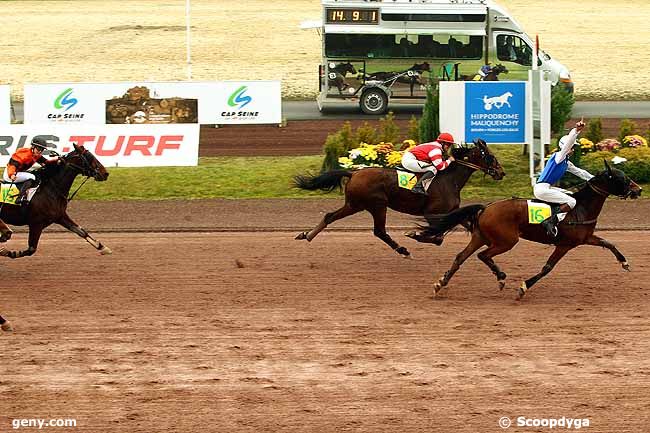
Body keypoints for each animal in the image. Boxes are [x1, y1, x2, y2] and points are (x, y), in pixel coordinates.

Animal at [292, 140, 504, 258]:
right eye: (491, 156)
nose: (501, 173)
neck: (449, 179)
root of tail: (353, 173)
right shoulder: (432, 213)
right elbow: (437, 238)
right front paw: (415, 235)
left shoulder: (452, 212)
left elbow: (461, 228)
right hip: (378, 205)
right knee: (379, 231)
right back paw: (403, 251)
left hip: (355, 204)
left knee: (329, 216)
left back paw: (307, 235)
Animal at [420, 160, 636, 298]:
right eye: (623, 178)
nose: (638, 189)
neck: (580, 208)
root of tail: (487, 207)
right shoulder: (565, 245)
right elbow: (547, 268)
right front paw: (524, 287)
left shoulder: (584, 238)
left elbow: (608, 243)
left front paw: (624, 262)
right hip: (507, 241)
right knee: (483, 255)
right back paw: (500, 277)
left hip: (480, 237)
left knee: (461, 257)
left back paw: (440, 284)